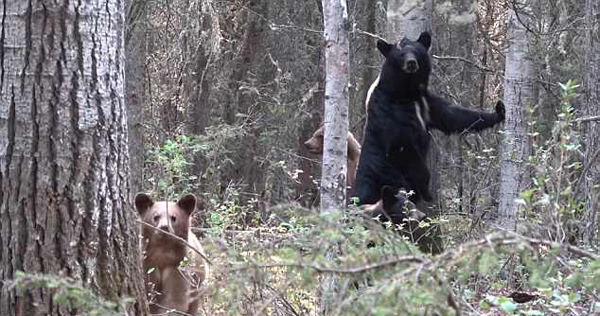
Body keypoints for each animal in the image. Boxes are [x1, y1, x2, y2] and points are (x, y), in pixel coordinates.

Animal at [354, 32, 504, 205]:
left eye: (417, 52)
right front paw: (426, 190)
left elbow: (452, 115)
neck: (408, 93)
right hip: (383, 180)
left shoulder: (426, 102)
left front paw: (498, 111)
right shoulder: (390, 111)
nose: (411, 63)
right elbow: (401, 145)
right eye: (401, 55)